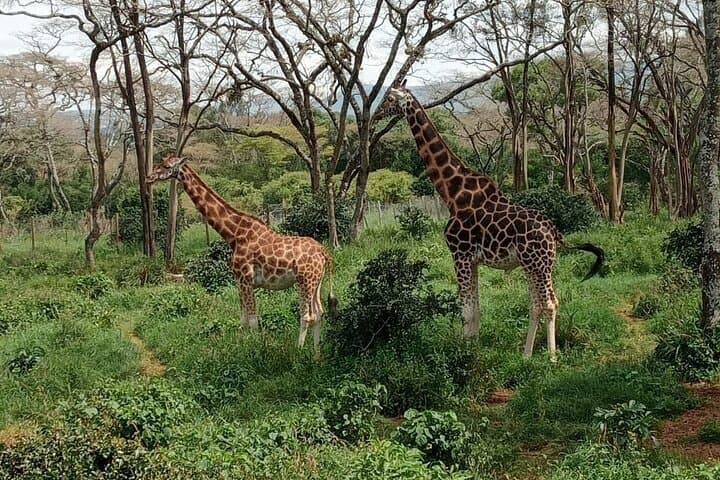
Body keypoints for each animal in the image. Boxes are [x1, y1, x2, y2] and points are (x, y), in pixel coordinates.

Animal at [146, 154, 333, 357]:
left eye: (166, 166)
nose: (148, 178)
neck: (233, 233)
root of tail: (324, 253)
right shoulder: (238, 280)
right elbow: (243, 319)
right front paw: (243, 347)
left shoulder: (246, 278)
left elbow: (252, 320)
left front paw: (256, 350)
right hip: (316, 281)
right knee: (319, 313)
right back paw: (316, 354)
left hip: (304, 281)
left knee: (306, 315)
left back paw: (298, 352)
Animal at [374, 83, 604, 359]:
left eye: (389, 98)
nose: (375, 115)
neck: (452, 194)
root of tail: (554, 231)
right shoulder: (471, 259)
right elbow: (475, 309)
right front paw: (471, 349)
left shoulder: (460, 255)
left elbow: (466, 310)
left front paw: (464, 355)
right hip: (532, 265)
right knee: (536, 303)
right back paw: (526, 355)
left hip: (539, 264)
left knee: (549, 302)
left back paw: (551, 357)